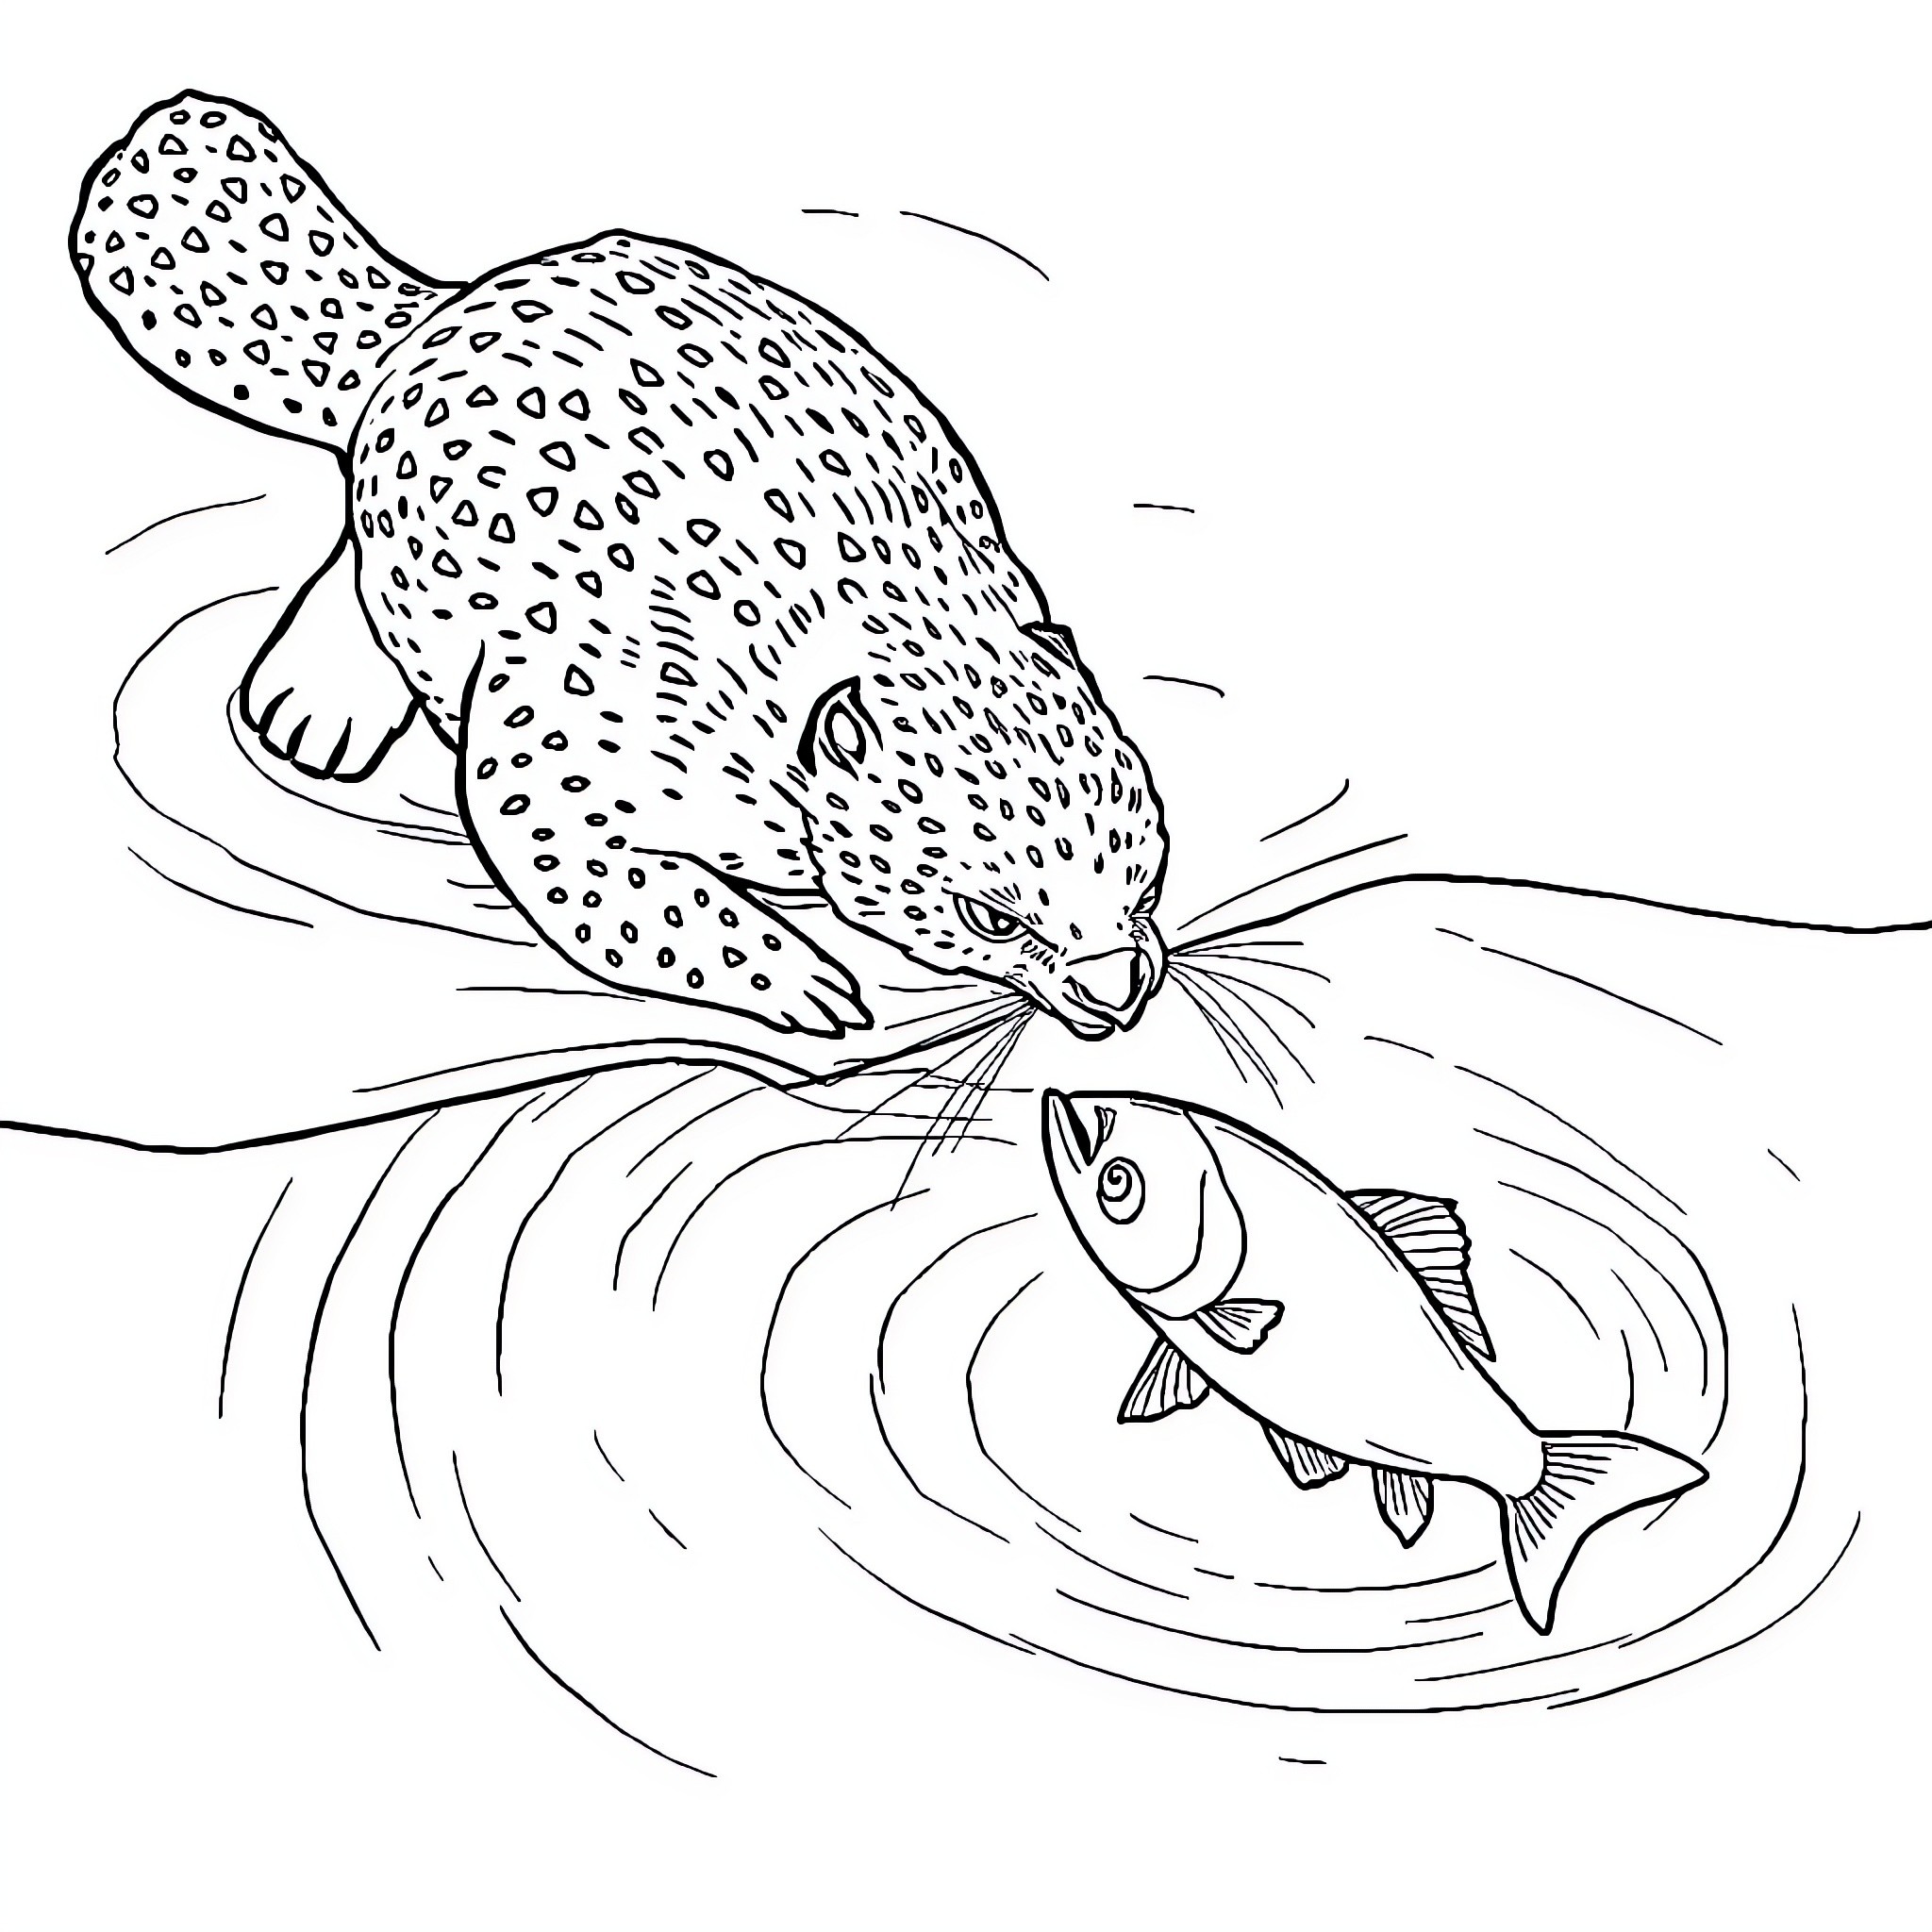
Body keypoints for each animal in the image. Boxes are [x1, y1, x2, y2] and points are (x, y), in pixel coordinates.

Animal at [72, 91, 1168, 1039]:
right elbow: (622, 896)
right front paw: (809, 983)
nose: (1118, 996)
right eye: (994, 916)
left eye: (1145, 867)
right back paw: (312, 707)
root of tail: (433, 317)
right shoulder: (559, 757)